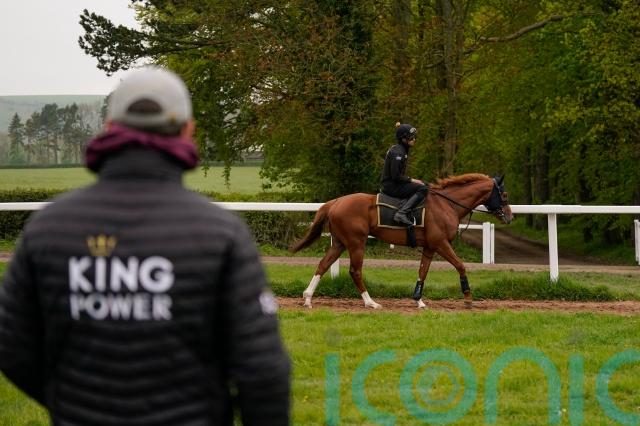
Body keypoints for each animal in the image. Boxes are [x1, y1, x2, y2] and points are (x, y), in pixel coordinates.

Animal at [289, 173, 513, 309]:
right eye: (504, 194)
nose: (510, 217)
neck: (446, 204)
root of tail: (336, 202)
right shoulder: (441, 244)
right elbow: (460, 265)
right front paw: (467, 298)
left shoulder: (430, 247)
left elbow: (423, 272)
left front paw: (419, 300)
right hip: (356, 244)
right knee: (355, 271)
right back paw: (370, 302)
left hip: (339, 243)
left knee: (323, 265)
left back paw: (308, 298)